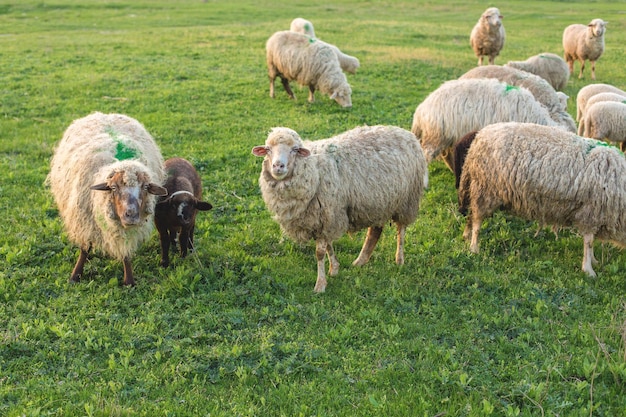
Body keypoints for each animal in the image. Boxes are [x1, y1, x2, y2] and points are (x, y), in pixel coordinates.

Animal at [47, 111, 167, 286]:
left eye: (145, 187)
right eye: (113, 188)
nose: (131, 215)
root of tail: (103, 114)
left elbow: (125, 250)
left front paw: (129, 280)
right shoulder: (84, 220)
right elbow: (85, 248)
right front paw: (75, 275)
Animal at [251, 125, 426, 290]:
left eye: (294, 149)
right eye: (268, 149)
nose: (278, 166)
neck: (314, 170)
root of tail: (406, 133)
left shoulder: (327, 214)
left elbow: (320, 252)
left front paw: (320, 284)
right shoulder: (327, 216)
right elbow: (329, 245)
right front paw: (334, 268)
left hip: (406, 200)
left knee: (401, 230)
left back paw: (399, 259)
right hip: (379, 201)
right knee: (375, 231)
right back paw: (361, 260)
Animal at [454, 120, 624, 276]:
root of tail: (479, 137)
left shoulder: (595, 215)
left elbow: (590, 242)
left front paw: (594, 261)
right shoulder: (591, 212)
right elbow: (588, 242)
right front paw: (589, 270)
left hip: (479, 188)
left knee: (471, 214)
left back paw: (466, 235)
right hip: (486, 189)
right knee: (477, 220)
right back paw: (474, 247)